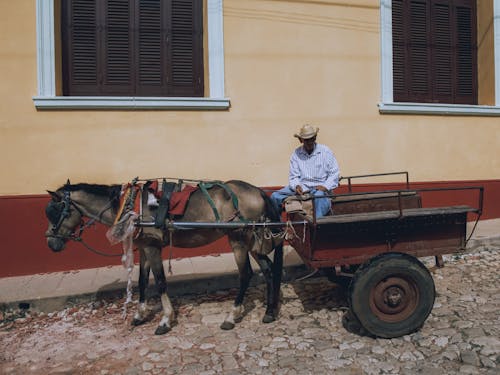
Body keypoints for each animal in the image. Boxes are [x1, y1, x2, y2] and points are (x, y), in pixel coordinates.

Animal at [45, 181, 284, 336]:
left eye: (56, 212)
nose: (51, 243)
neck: (130, 206)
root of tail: (258, 191)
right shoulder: (144, 248)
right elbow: (142, 281)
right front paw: (140, 314)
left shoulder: (152, 247)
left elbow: (160, 281)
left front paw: (166, 320)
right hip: (253, 239)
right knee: (269, 269)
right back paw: (269, 311)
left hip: (238, 238)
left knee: (246, 274)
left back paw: (231, 316)